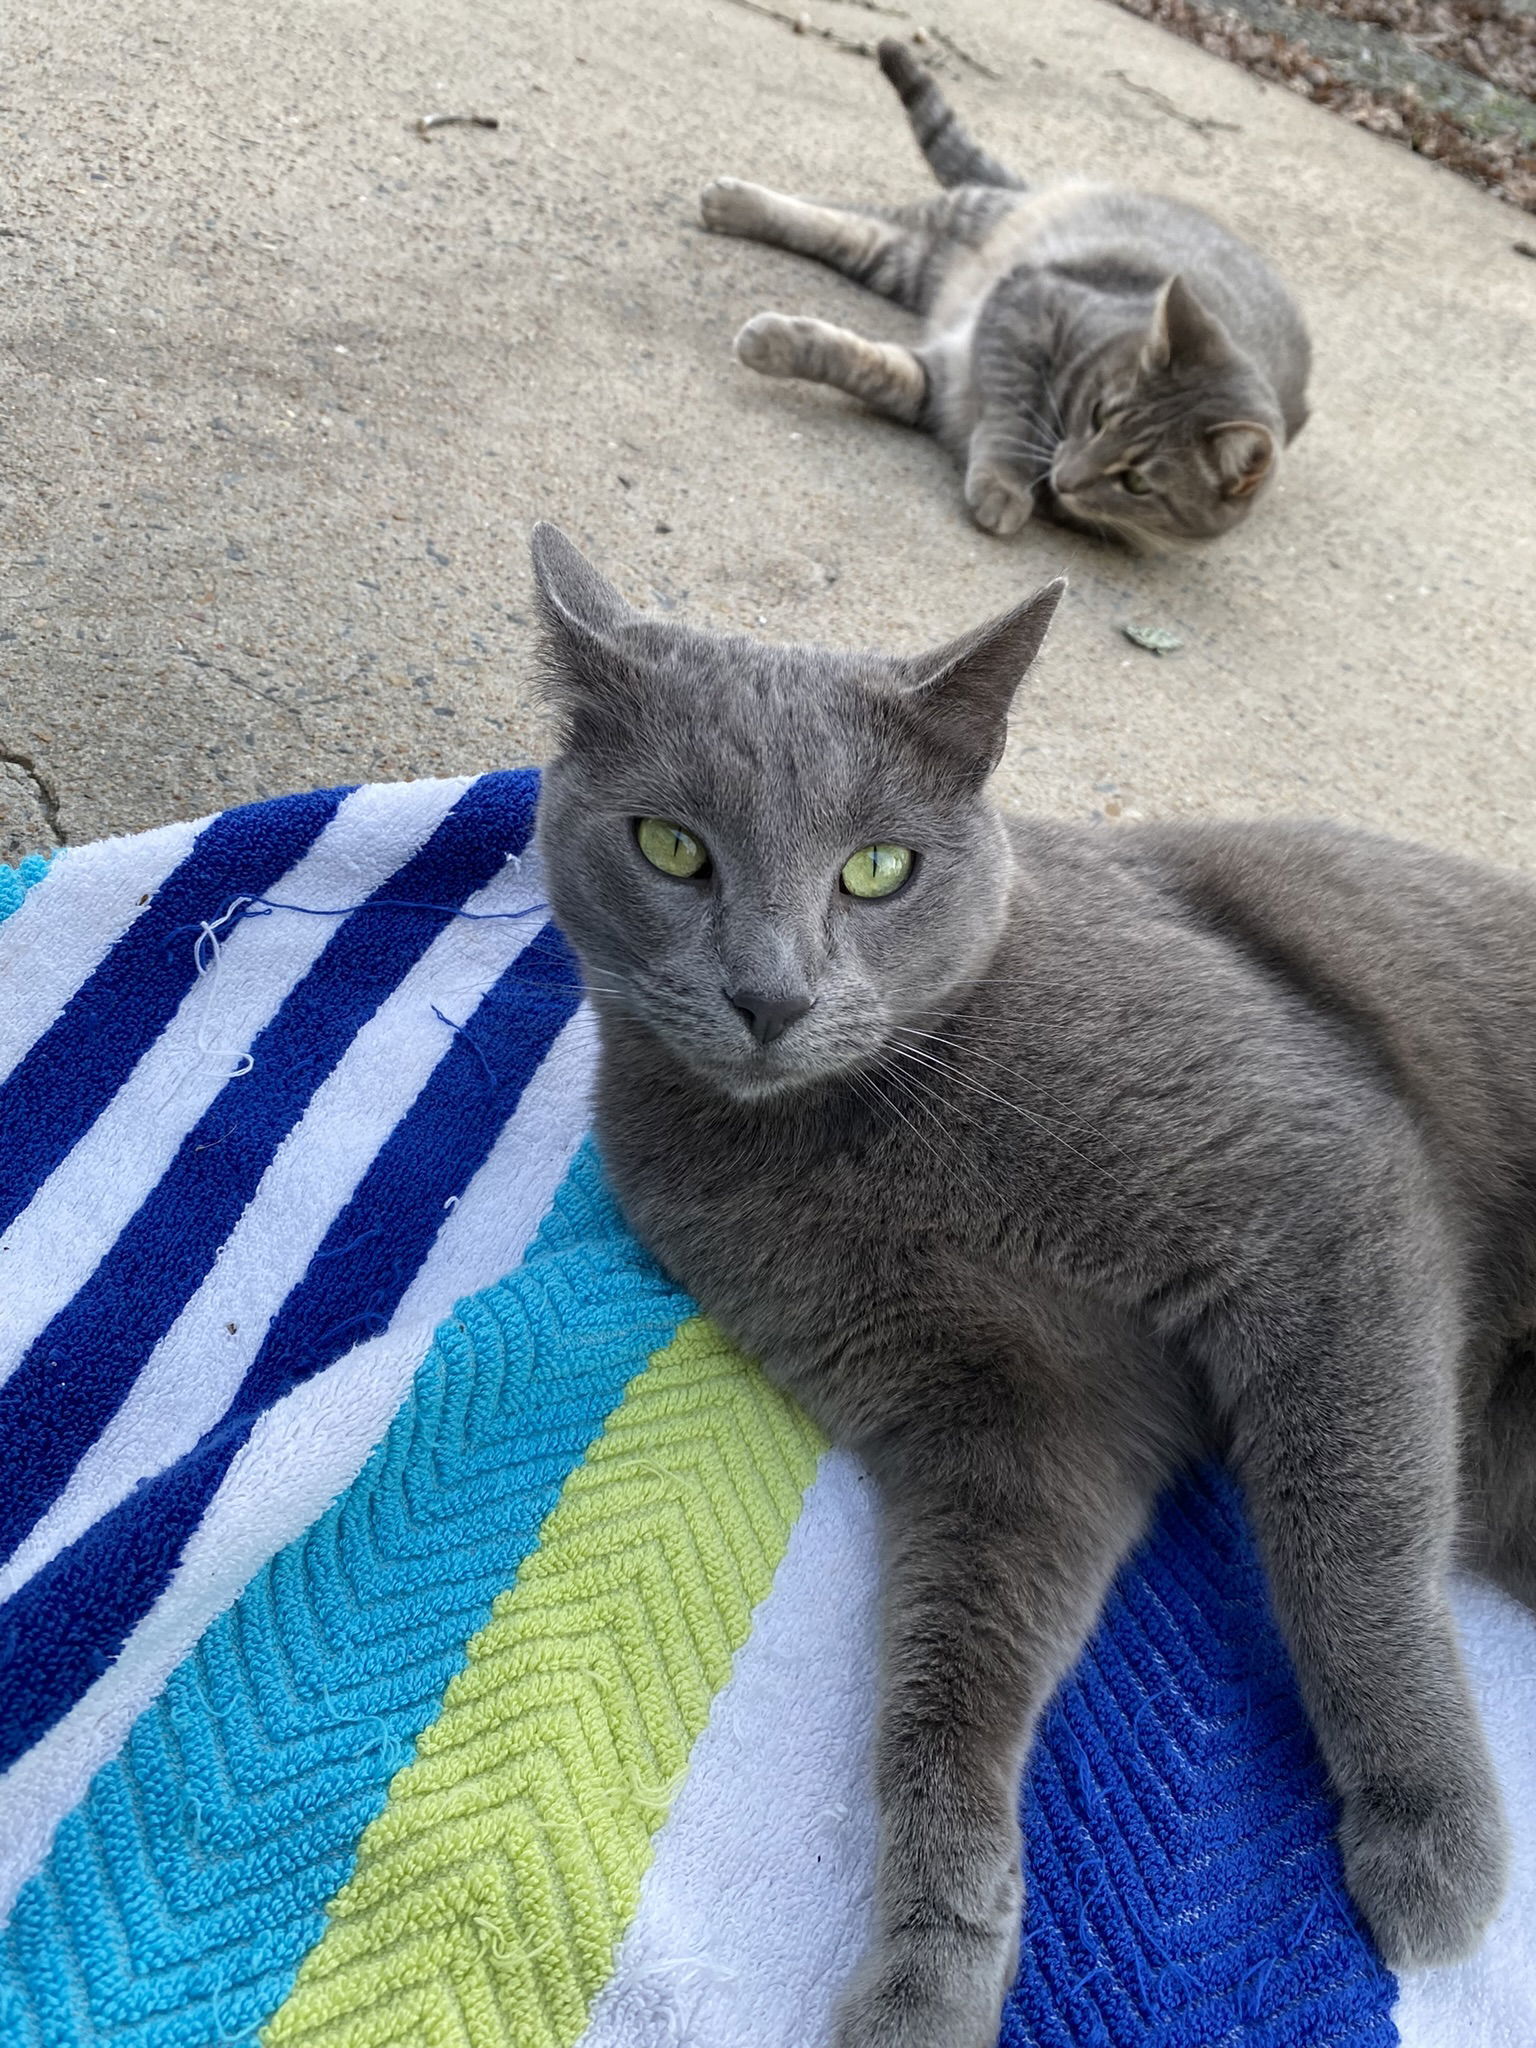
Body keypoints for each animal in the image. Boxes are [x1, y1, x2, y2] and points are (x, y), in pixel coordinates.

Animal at [528, 524, 1531, 2048]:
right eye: (671, 847)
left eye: (879, 868)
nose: (771, 996)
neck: (870, 1125)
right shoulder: (1010, 1415)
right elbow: (945, 1696)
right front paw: (929, 1970)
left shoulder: (1317, 1174)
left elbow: (1350, 1546)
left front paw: (1430, 1833)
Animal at [704, 41, 1318, 552]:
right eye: (1098, 415)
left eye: (1137, 483)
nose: (1066, 478)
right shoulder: (1028, 303)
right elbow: (1014, 411)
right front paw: (1004, 480)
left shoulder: (938, 382)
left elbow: (866, 364)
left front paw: (775, 344)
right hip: (968, 212)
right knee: (848, 217)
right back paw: (733, 202)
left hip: (913, 266)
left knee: (857, 236)